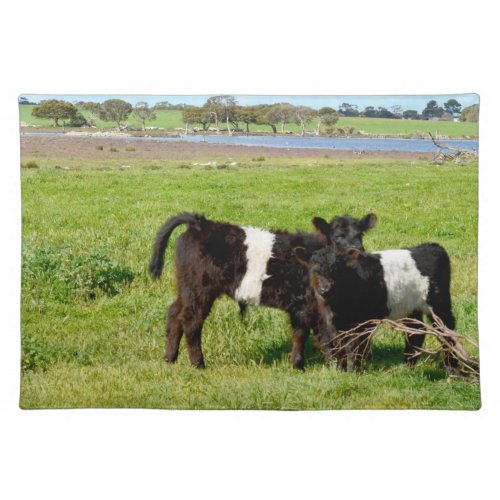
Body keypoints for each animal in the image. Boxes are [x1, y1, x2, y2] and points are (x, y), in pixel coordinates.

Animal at [148, 209, 376, 370]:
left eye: (360, 234)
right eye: (337, 236)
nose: (358, 250)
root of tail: (200, 223)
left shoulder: (299, 306)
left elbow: (299, 335)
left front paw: (297, 366)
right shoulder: (316, 305)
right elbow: (327, 338)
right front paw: (333, 369)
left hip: (186, 287)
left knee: (174, 314)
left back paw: (169, 358)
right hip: (200, 290)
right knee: (191, 321)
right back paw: (198, 364)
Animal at [294, 242, 458, 372]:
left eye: (337, 270)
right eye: (315, 270)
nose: (325, 289)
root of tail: (432, 246)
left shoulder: (363, 321)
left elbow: (355, 346)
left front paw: (354, 372)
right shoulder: (335, 322)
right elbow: (340, 346)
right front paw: (341, 371)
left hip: (439, 304)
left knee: (447, 331)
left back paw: (453, 368)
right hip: (412, 307)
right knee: (416, 332)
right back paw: (408, 366)